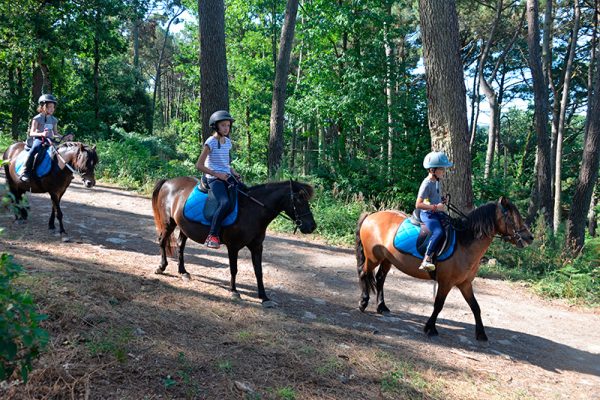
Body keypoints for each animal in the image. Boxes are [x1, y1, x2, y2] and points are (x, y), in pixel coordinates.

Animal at [152, 178, 316, 306]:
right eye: (298, 200)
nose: (312, 226)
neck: (252, 210)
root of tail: (168, 182)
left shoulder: (257, 247)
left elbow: (259, 271)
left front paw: (264, 297)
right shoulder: (233, 246)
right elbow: (234, 269)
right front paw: (234, 291)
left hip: (184, 227)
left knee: (180, 245)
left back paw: (183, 272)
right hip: (169, 223)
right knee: (162, 241)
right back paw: (161, 267)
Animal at [354, 197, 532, 340]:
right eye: (511, 216)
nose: (529, 237)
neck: (463, 244)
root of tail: (371, 215)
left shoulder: (465, 284)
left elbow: (476, 307)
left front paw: (481, 334)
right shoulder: (446, 283)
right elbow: (439, 305)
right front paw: (430, 328)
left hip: (387, 259)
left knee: (380, 279)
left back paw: (382, 307)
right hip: (373, 258)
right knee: (364, 273)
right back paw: (363, 303)